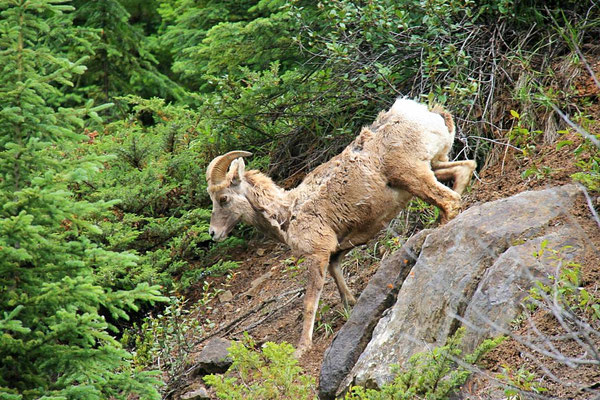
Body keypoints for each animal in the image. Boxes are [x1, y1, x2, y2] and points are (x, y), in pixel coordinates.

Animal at [204, 99, 476, 356]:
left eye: (223, 199)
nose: (214, 233)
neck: (288, 213)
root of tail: (426, 115)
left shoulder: (318, 254)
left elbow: (310, 302)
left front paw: (302, 348)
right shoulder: (338, 248)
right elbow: (337, 275)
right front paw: (351, 303)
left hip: (413, 176)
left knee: (449, 200)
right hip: (434, 166)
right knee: (465, 169)